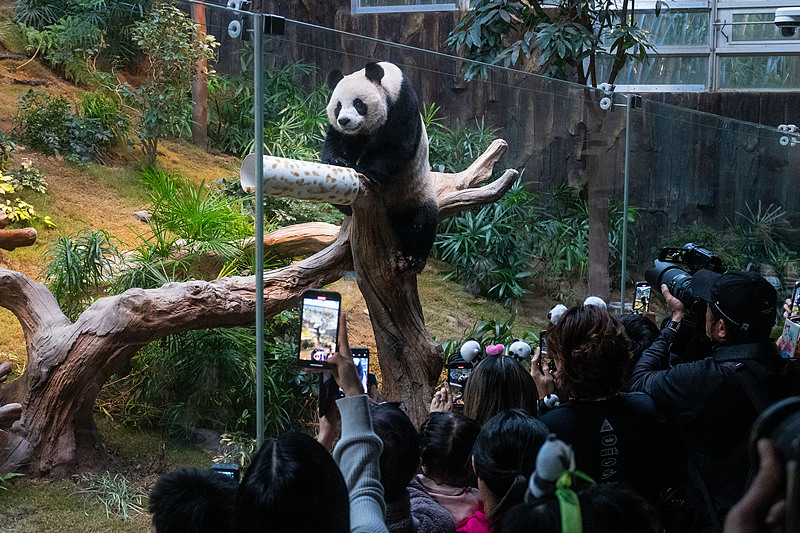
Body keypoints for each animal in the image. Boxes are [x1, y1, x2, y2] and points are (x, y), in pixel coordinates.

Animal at [322, 60, 440, 272]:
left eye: (358, 104)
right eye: (338, 106)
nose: (344, 120)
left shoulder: (402, 106)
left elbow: (396, 147)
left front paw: (362, 169)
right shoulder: (344, 133)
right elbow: (338, 140)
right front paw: (336, 161)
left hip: (415, 191)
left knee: (422, 222)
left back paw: (415, 257)